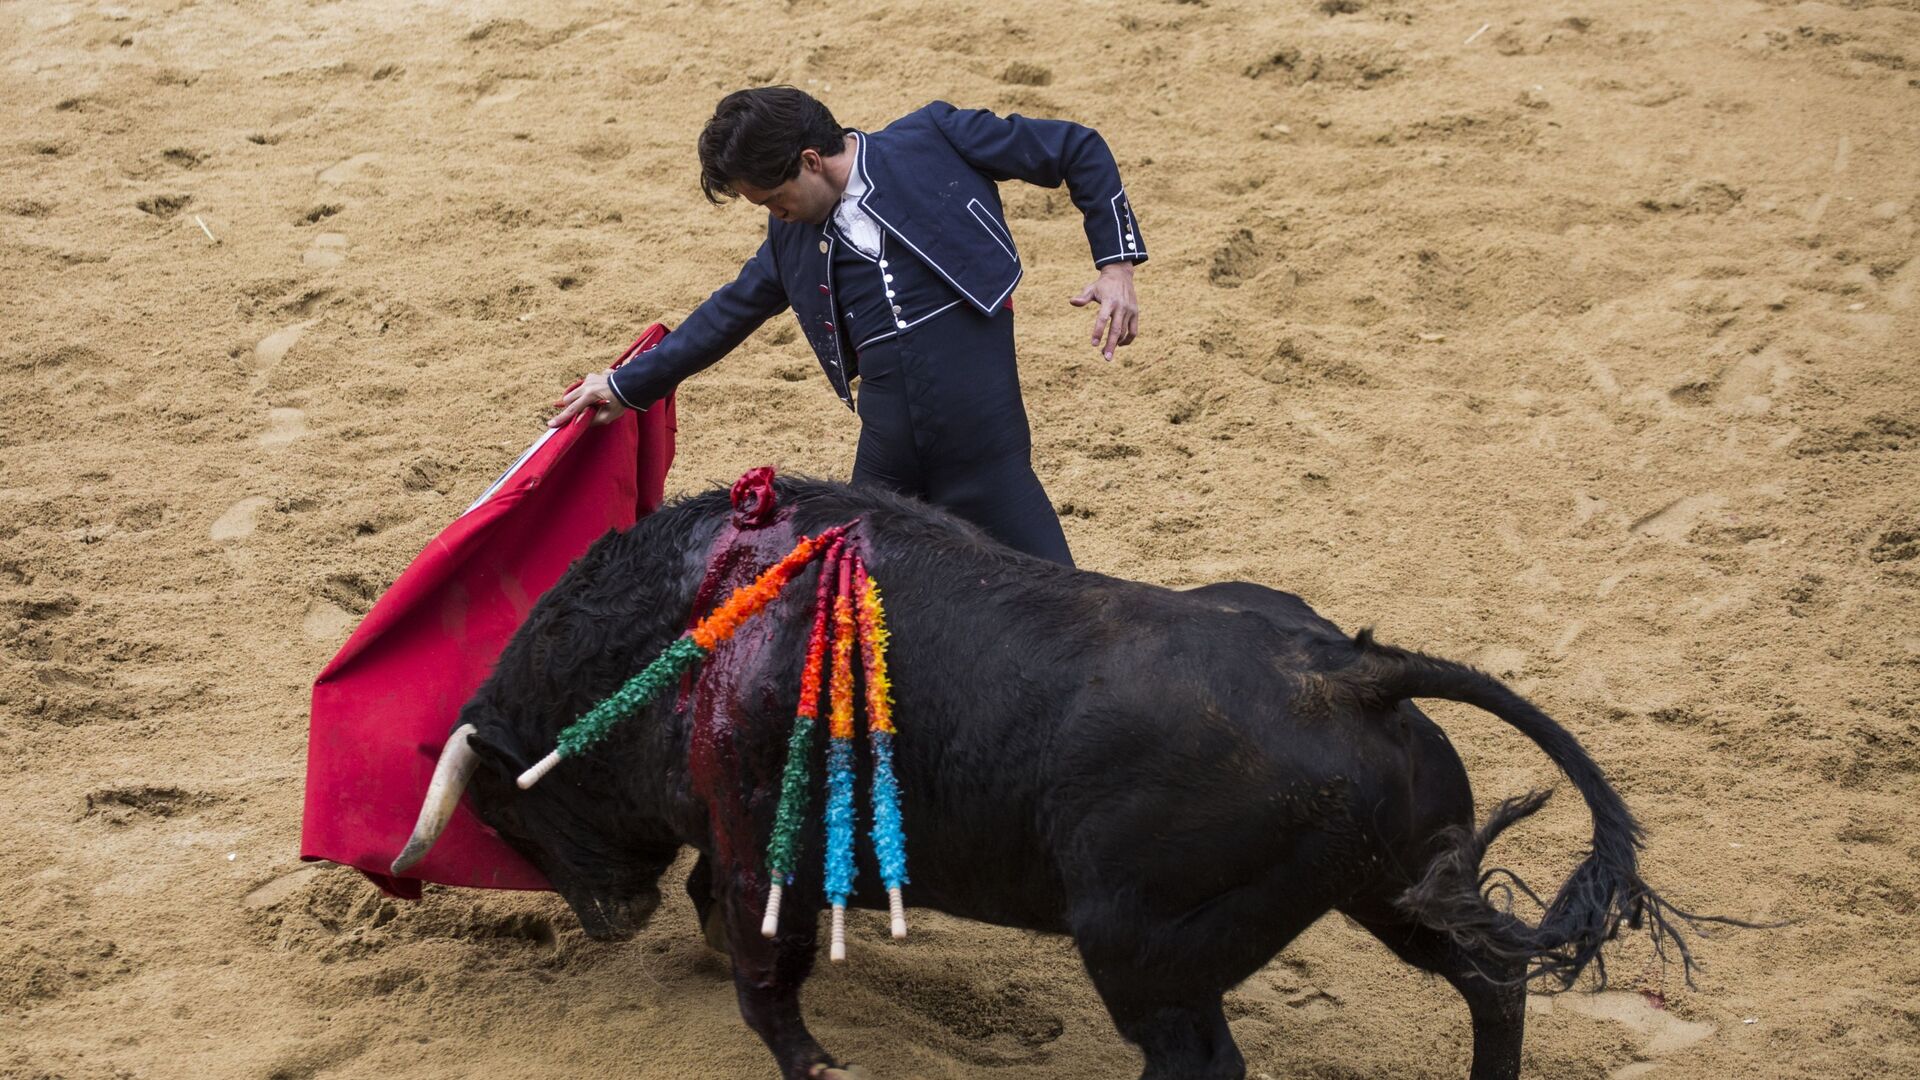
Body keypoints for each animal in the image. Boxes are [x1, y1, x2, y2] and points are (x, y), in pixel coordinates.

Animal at [397, 478, 1720, 1076]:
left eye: (516, 813)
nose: (602, 920)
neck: (688, 627)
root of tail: (1347, 674)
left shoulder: (760, 848)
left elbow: (767, 985)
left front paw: (814, 1058)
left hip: (1141, 945)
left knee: (1202, 1065)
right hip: (1393, 886)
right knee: (1492, 977)